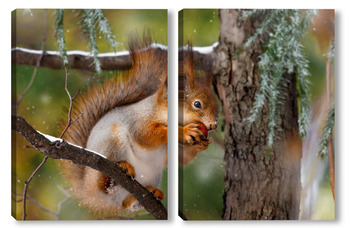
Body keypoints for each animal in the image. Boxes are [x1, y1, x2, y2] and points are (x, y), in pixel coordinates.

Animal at [60, 37, 219, 214]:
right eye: (197, 104)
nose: (213, 125)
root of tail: (87, 190)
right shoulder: (139, 121)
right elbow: (145, 135)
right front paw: (184, 131)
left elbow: (181, 158)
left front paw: (202, 144)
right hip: (111, 144)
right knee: (103, 186)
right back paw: (118, 172)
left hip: (152, 175)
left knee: (126, 204)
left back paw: (149, 193)